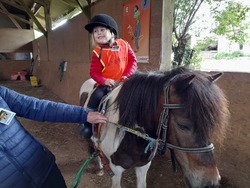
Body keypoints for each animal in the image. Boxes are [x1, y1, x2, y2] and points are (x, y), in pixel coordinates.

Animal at [79, 67, 229, 188]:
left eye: (210, 125)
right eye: (183, 125)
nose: (211, 182)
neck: (130, 137)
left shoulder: (143, 166)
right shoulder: (116, 170)